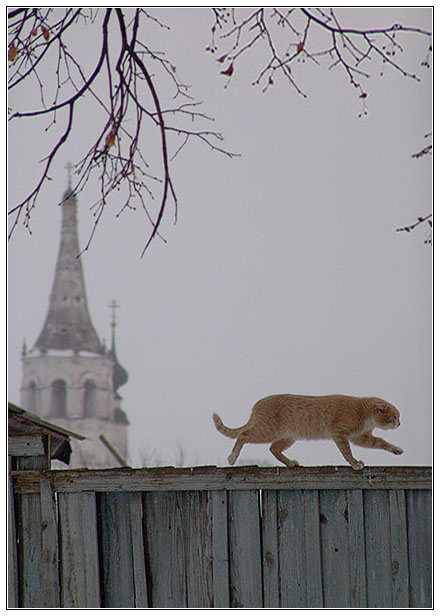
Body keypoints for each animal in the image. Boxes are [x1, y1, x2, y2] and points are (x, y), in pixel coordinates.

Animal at [213, 394, 402, 472]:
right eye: (395, 417)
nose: (400, 423)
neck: (362, 411)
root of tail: (257, 405)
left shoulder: (361, 437)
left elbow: (381, 442)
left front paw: (396, 450)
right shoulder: (340, 433)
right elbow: (347, 452)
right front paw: (355, 464)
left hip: (288, 437)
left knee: (273, 449)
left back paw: (290, 463)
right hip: (265, 431)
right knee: (243, 435)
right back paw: (232, 458)